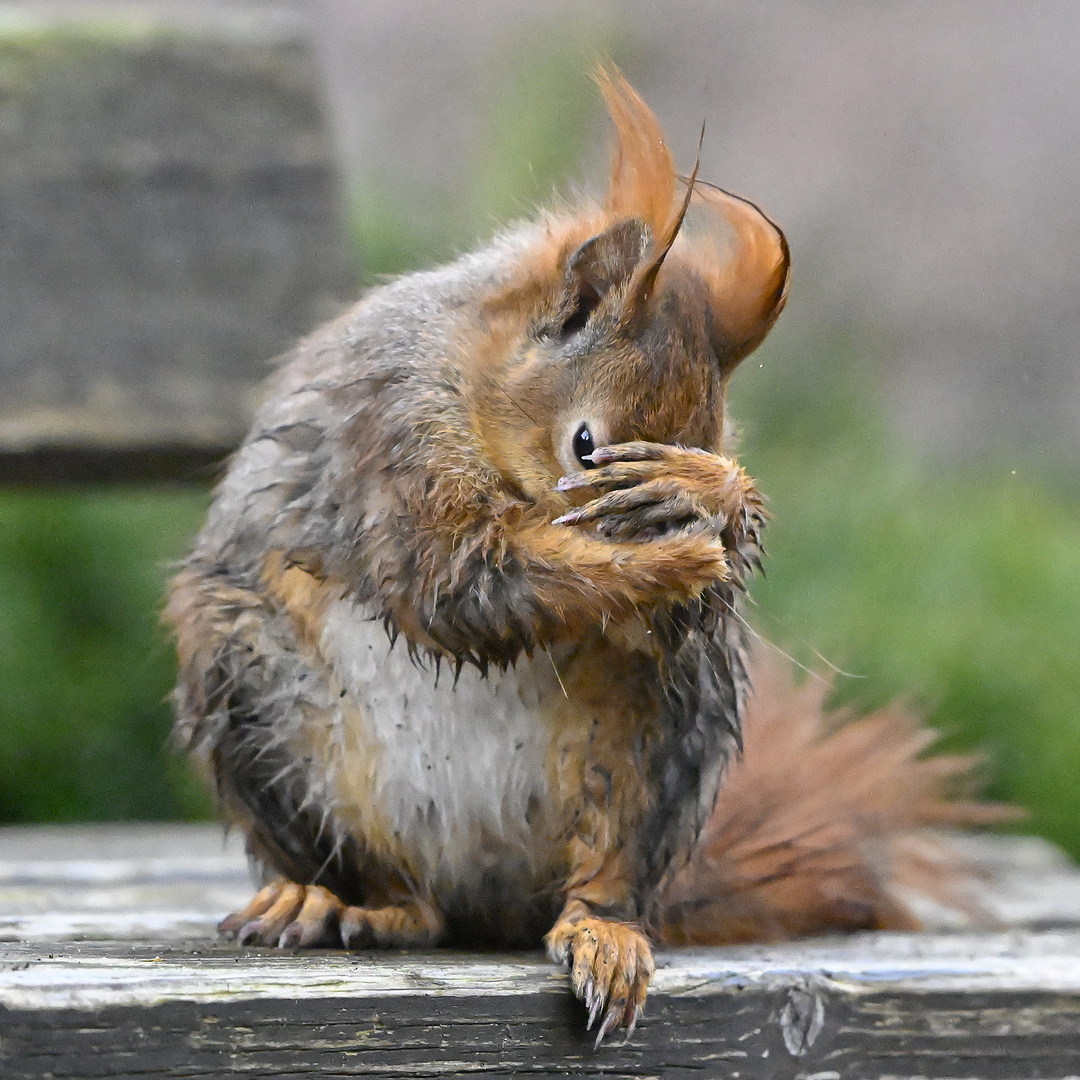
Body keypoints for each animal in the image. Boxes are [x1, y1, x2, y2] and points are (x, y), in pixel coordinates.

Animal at [164, 69, 1006, 1045]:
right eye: (584, 444)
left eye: (716, 433)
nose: (675, 510)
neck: (471, 372)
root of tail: (483, 886)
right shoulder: (391, 440)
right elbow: (459, 580)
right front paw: (668, 564)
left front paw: (711, 497)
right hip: (253, 689)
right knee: (407, 899)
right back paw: (348, 903)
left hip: (661, 738)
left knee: (601, 877)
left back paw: (602, 932)